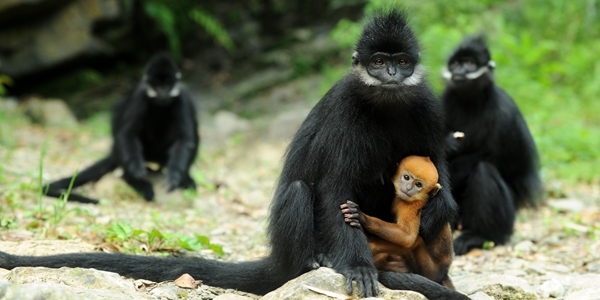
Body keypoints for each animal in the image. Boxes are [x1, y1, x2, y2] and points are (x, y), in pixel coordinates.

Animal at [45, 53, 199, 204]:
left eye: (168, 84)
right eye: (156, 84)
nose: (163, 92)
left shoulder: (183, 98)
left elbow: (186, 139)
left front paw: (175, 175)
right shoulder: (139, 96)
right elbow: (126, 135)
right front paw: (135, 172)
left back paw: (185, 177)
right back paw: (135, 181)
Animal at [342, 156, 454, 290]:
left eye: (418, 184)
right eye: (406, 177)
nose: (409, 188)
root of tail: (444, 272)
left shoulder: (411, 206)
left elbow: (408, 237)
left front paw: (363, 217)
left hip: (431, 270)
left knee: (415, 242)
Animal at [440, 35, 544, 255]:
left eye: (469, 64)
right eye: (455, 64)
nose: (459, 72)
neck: (470, 103)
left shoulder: (505, 112)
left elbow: (511, 166)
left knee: (484, 171)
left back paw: (480, 237)